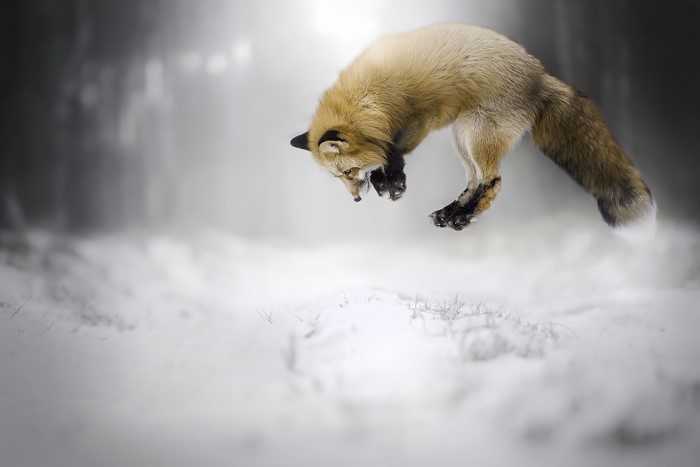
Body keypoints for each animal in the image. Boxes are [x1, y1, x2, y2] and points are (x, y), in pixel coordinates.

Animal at [290, 22, 657, 240]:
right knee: (474, 181)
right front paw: (387, 181)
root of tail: (540, 76)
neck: (374, 98)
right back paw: (452, 214)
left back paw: (463, 217)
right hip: (463, 139)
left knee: (493, 183)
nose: (354, 199)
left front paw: (392, 180)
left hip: (477, 134)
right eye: (339, 177)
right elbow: (389, 153)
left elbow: (395, 150)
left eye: (347, 171)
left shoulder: (422, 117)